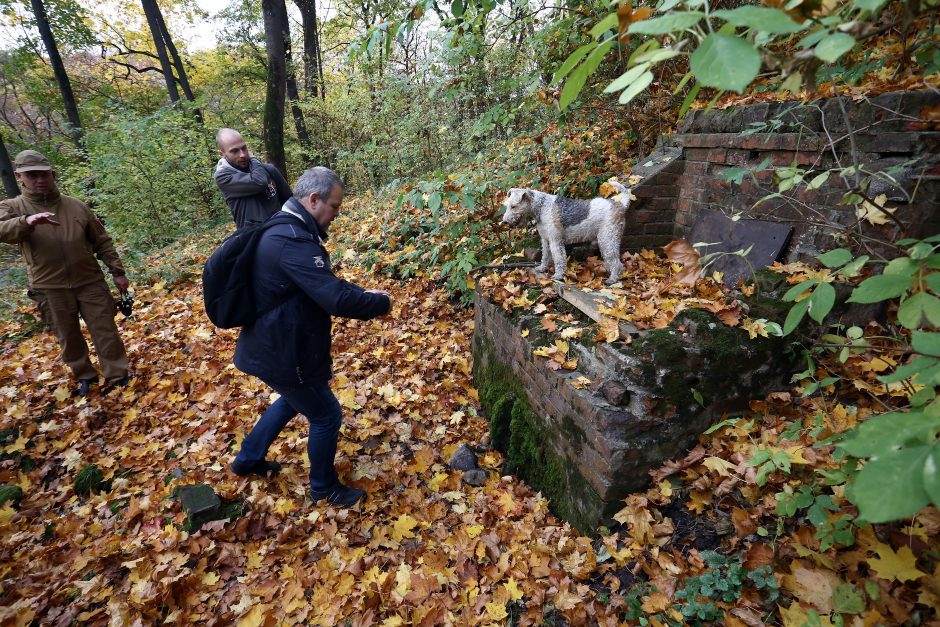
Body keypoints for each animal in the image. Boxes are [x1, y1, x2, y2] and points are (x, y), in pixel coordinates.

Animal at [500, 184, 632, 284]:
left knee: (617, 263)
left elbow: (558, 259)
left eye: (513, 206)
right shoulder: (545, 240)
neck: (542, 207)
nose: (505, 222)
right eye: (507, 206)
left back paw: (612, 279)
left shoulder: (555, 240)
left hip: (607, 238)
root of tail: (620, 204)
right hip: (607, 240)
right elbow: (545, 256)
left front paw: (558, 275)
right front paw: (542, 268)